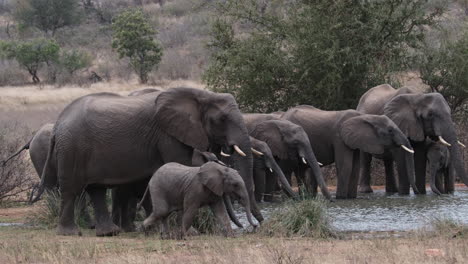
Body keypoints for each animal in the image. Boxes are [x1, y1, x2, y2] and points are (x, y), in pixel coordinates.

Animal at [33, 87, 260, 236]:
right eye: (222, 119)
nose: (256, 227)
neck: (201, 94)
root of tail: (58, 124)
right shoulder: (168, 135)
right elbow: (180, 165)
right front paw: (192, 232)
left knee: (96, 189)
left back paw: (110, 233)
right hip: (72, 148)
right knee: (71, 189)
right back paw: (70, 233)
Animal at [282, 104, 416, 198]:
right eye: (390, 131)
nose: (416, 192)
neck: (364, 116)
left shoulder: (354, 139)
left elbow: (355, 167)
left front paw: (351, 197)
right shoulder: (339, 138)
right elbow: (345, 165)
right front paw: (341, 197)